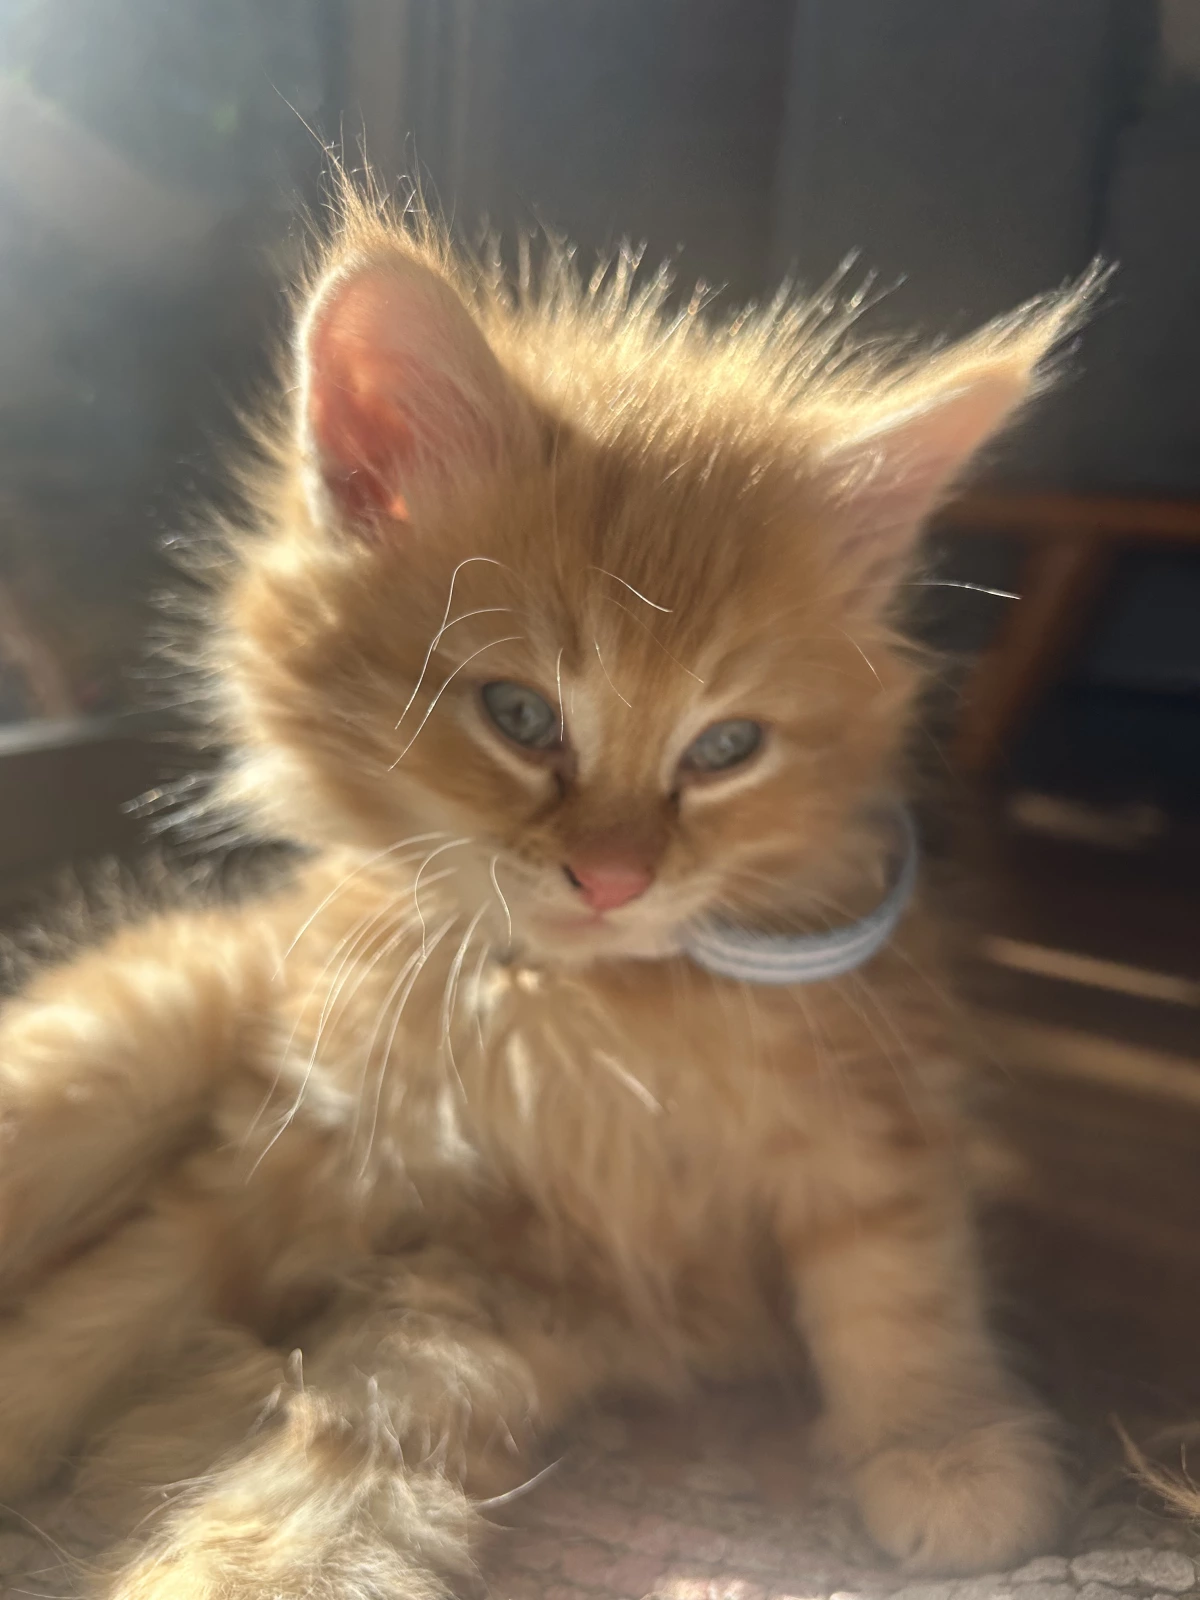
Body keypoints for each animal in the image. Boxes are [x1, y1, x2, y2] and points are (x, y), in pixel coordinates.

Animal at [0, 186, 1094, 1596]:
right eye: (520, 716)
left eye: (725, 748)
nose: (615, 876)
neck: (572, 1018)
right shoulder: (276, 1166)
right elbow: (86, 1318)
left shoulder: (852, 1105)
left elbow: (897, 1272)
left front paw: (943, 1444)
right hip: (110, 1053)